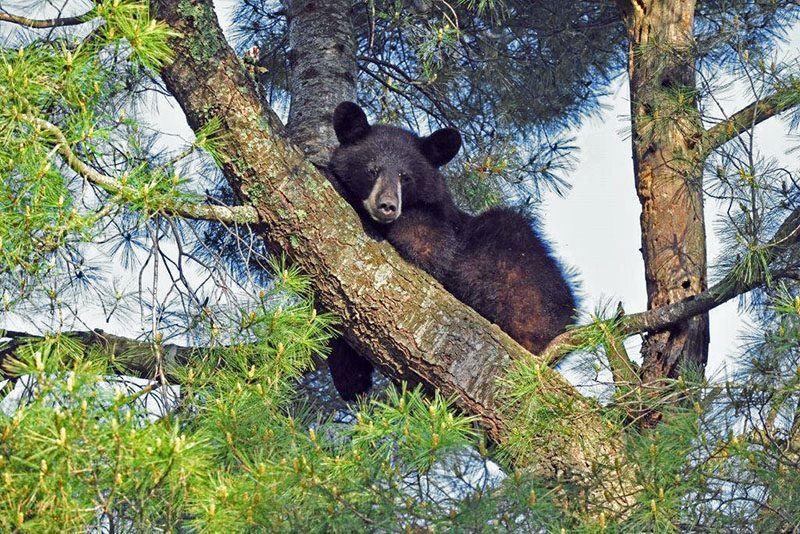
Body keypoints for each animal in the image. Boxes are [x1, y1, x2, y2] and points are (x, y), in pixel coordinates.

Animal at [326, 101, 576, 400]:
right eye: (372, 170)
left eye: (405, 177)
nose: (387, 206)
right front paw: (350, 374)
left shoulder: (437, 224)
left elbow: (426, 246)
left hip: (520, 280)